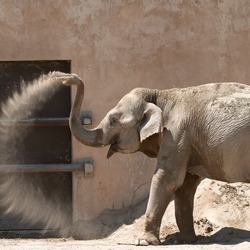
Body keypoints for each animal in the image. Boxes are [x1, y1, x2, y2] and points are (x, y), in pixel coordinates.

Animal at [53, 71, 250, 245]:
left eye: (114, 120)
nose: (64, 77)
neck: (160, 95)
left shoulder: (176, 135)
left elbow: (167, 179)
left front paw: (143, 242)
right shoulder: (188, 142)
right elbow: (185, 185)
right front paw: (183, 240)